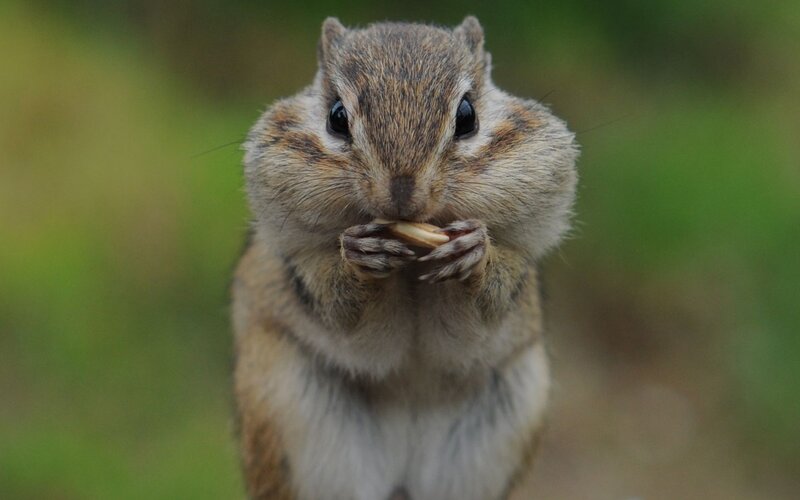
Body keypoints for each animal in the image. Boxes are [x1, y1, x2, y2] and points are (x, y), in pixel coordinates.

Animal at [232, 16, 578, 500]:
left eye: (467, 117)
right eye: (337, 117)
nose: (401, 194)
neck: (410, 267)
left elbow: (485, 308)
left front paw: (475, 253)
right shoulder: (302, 271)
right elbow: (341, 308)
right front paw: (360, 257)